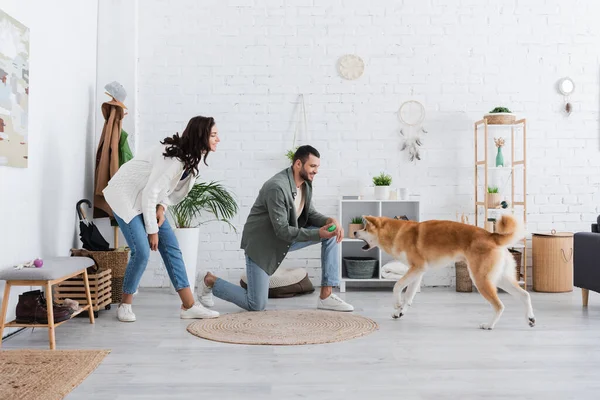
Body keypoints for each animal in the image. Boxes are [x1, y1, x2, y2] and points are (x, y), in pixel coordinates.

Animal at [356, 216, 536, 332]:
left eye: (365, 228)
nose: (354, 233)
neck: (397, 233)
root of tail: (492, 236)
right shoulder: (418, 272)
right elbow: (409, 295)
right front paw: (400, 311)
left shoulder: (416, 268)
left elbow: (397, 286)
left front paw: (396, 304)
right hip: (499, 278)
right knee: (525, 295)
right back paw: (530, 318)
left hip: (481, 279)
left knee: (499, 305)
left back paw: (489, 325)